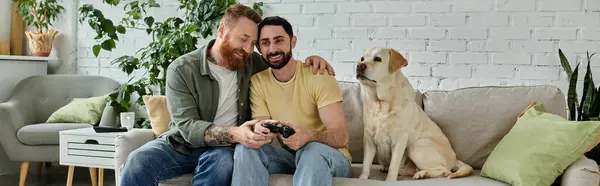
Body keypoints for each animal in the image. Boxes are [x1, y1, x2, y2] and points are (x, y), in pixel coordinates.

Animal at [356, 47, 474, 181]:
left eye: (377, 59)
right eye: (362, 58)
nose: (359, 66)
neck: (381, 103)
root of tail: (455, 159)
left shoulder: (400, 139)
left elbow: (394, 165)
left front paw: (390, 180)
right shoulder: (369, 138)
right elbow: (366, 164)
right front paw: (362, 178)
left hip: (416, 145)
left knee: (444, 171)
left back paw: (421, 174)